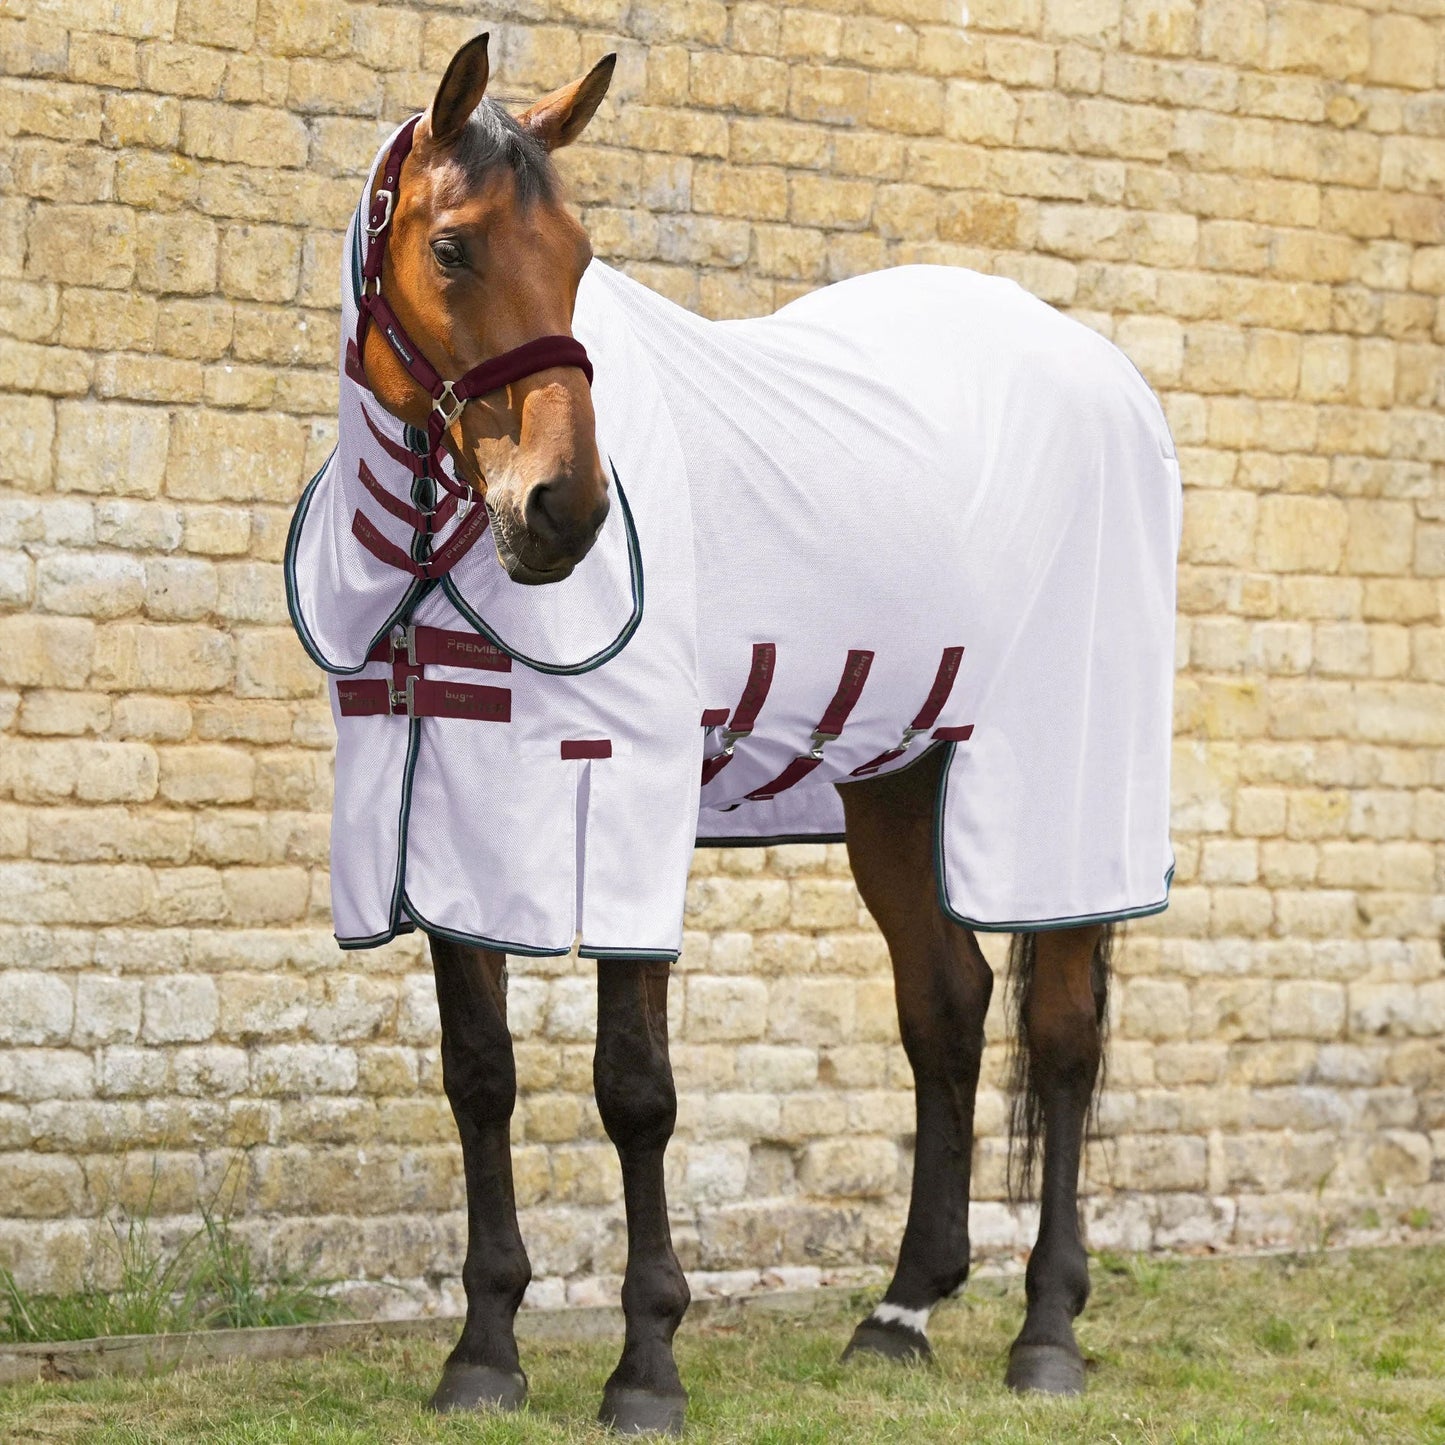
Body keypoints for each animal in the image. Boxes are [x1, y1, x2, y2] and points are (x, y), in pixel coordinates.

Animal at [284, 33, 1181, 1435]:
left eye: (582, 254)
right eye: (453, 247)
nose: (563, 510)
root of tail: (1103, 376)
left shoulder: (623, 802)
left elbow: (633, 1088)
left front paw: (645, 1363)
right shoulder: (440, 821)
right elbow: (479, 1073)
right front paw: (482, 1354)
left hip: (1062, 785)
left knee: (1060, 1035)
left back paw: (1045, 1334)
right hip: (894, 779)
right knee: (945, 1005)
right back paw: (899, 1312)